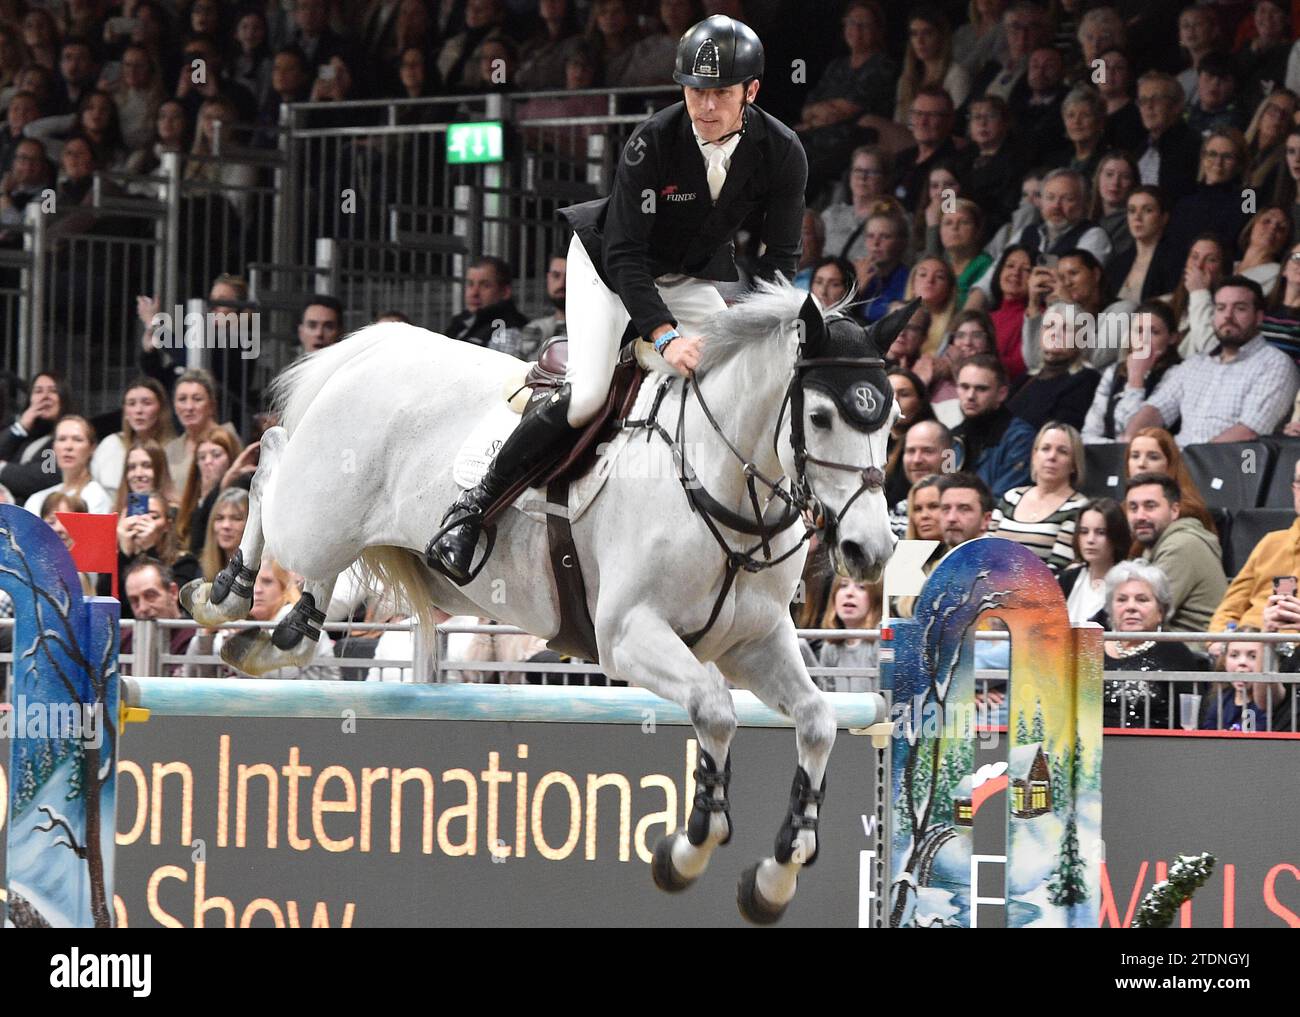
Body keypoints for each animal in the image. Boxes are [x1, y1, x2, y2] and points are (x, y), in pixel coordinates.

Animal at [180, 277, 915, 925]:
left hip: (341, 532)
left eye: (893, 419)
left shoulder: (754, 645)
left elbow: (817, 721)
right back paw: (223, 595)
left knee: (306, 558)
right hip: (315, 510)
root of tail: (378, 345)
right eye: (820, 416)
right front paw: (687, 848)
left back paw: (281, 634)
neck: (717, 478)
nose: (870, 551)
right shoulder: (628, 636)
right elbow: (714, 709)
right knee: (270, 463)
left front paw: (775, 875)